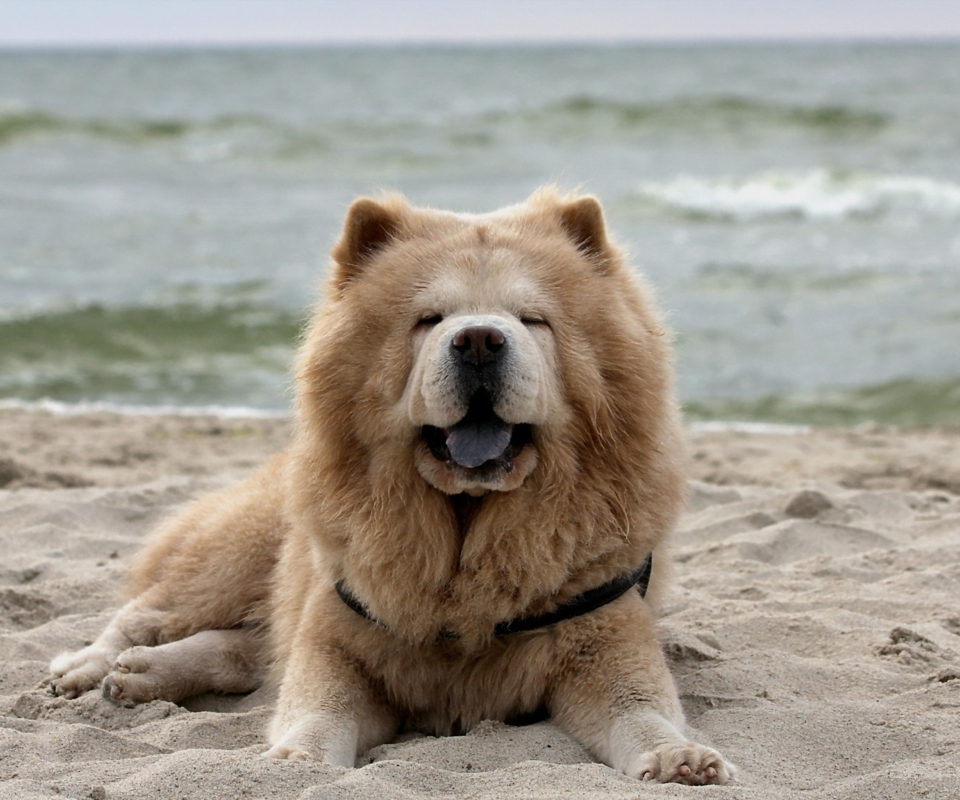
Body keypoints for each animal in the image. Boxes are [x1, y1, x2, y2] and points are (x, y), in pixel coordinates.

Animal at [50, 189, 736, 788]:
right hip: (237, 555)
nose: (479, 339)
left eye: (533, 320)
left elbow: (642, 710)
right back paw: (88, 668)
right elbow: (316, 704)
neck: (467, 533)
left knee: (244, 650)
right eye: (428, 320)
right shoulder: (337, 638)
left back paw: (138, 677)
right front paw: (298, 760)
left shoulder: (605, 638)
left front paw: (681, 759)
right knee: (150, 613)